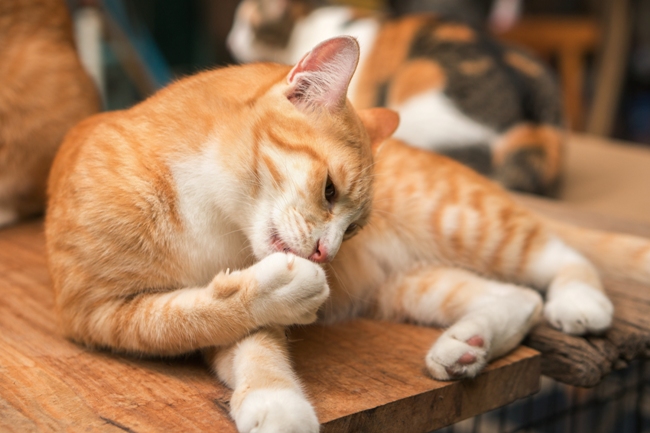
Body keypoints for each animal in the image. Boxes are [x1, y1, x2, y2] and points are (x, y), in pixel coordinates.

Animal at [46, 38, 648, 432]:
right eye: (331, 191)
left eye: (354, 227)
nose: (326, 252)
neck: (210, 211)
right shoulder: (95, 313)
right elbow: (188, 318)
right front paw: (275, 384)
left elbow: (243, 337)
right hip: (409, 285)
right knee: (517, 297)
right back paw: (466, 346)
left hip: (468, 223)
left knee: (559, 256)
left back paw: (579, 300)